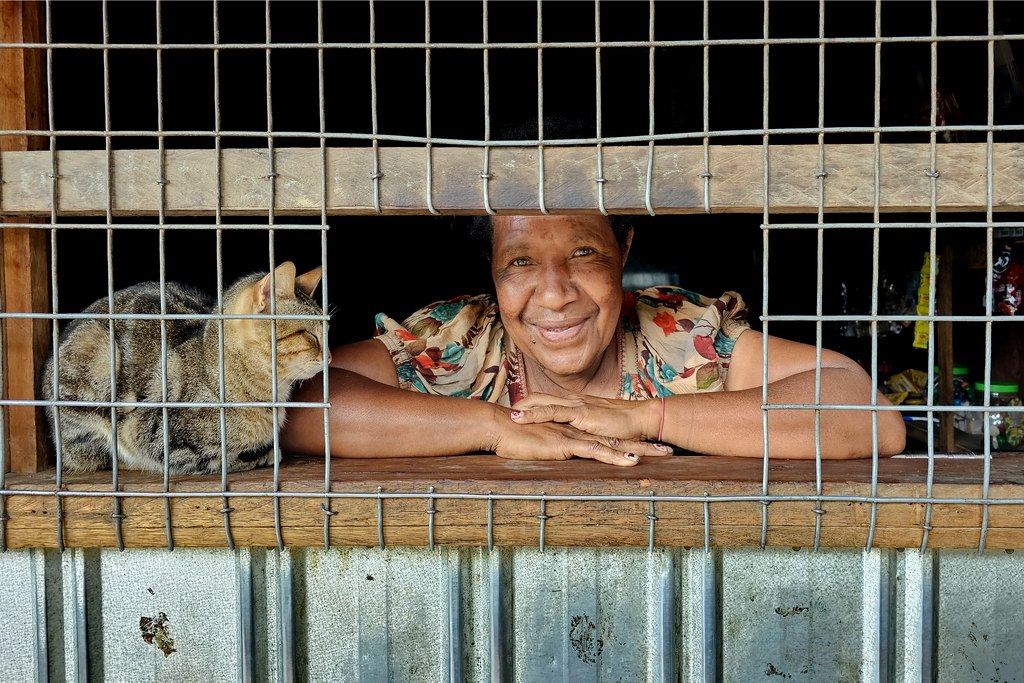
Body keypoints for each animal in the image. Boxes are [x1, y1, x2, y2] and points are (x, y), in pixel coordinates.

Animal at [38, 262, 327, 475]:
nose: (331, 357)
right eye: (311, 336)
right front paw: (264, 454)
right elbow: (224, 458)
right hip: (95, 360)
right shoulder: (157, 437)